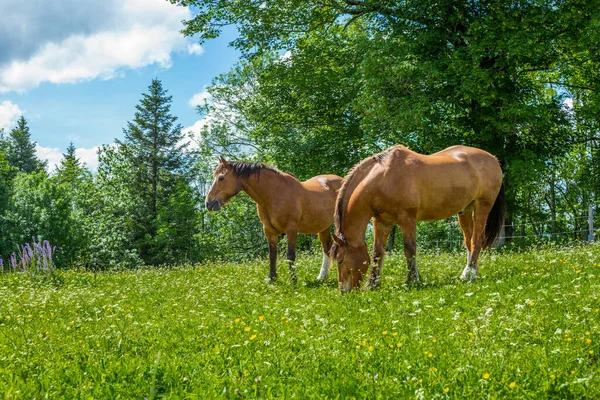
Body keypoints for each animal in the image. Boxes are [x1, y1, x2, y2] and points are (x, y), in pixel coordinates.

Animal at [205, 156, 342, 284]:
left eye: (221, 178)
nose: (208, 203)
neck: (273, 194)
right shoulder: (269, 231)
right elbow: (272, 255)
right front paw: (272, 278)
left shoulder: (291, 229)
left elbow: (290, 255)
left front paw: (293, 280)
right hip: (323, 227)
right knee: (327, 247)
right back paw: (322, 277)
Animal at [330, 145, 504, 292]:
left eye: (340, 260)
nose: (344, 291)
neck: (383, 178)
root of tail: (493, 159)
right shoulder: (381, 222)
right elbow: (377, 253)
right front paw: (372, 284)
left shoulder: (407, 219)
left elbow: (410, 250)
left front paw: (413, 280)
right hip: (465, 210)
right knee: (469, 241)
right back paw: (470, 273)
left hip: (482, 205)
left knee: (477, 240)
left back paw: (469, 272)